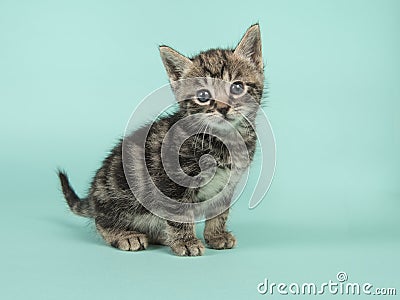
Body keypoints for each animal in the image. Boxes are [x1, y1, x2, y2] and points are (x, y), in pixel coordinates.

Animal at [57, 24, 264, 256]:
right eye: (203, 96)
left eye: (237, 87)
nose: (222, 108)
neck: (224, 140)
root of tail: (93, 195)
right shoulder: (172, 182)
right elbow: (180, 213)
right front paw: (186, 242)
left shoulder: (226, 185)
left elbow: (219, 212)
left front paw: (216, 235)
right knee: (101, 220)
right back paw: (125, 235)